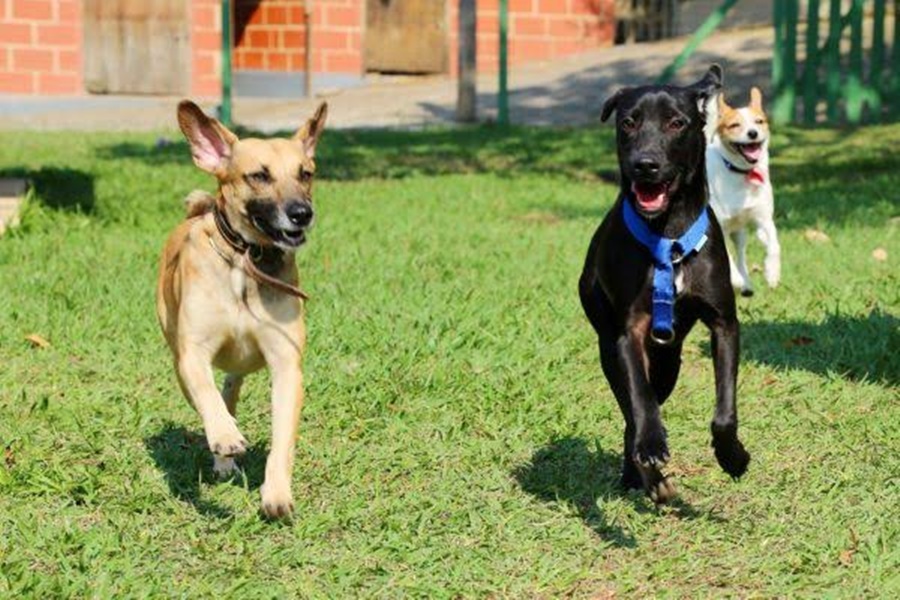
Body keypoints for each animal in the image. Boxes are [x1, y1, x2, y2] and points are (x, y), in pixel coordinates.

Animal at [157, 101, 326, 516]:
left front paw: (277, 493)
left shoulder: (286, 363)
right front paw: (224, 439)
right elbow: (207, 395)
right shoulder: (193, 354)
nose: (302, 213)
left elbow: (283, 437)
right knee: (210, 397)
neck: (246, 260)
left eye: (306, 173)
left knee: (231, 387)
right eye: (259, 176)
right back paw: (224, 453)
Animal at [580, 65, 748, 504]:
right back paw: (645, 474)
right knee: (632, 412)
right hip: (610, 348)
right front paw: (652, 448)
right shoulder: (629, 334)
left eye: (677, 123)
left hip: (670, 362)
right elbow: (641, 403)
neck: (667, 235)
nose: (645, 165)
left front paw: (733, 456)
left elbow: (724, 409)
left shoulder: (724, 323)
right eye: (628, 122)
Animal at [708, 87, 776, 296]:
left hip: (739, 231)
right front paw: (735, 280)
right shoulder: (718, 227)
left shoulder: (764, 218)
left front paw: (772, 272)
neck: (741, 172)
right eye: (734, 125)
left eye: (759, 121)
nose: (753, 133)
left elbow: (774, 245)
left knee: (740, 252)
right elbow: (726, 259)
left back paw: (746, 282)